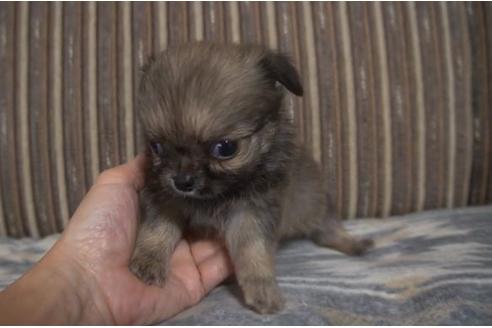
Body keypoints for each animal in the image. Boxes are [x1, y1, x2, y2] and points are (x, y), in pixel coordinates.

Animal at [131, 43, 372, 312]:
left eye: (225, 148)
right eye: (157, 147)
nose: (182, 181)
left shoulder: (253, 211)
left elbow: (252, 250)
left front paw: (262, 287)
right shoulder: (163, 195)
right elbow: (157, 228)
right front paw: (149, 260)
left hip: (316, 199)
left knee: (327, 228)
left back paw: (354, 244)